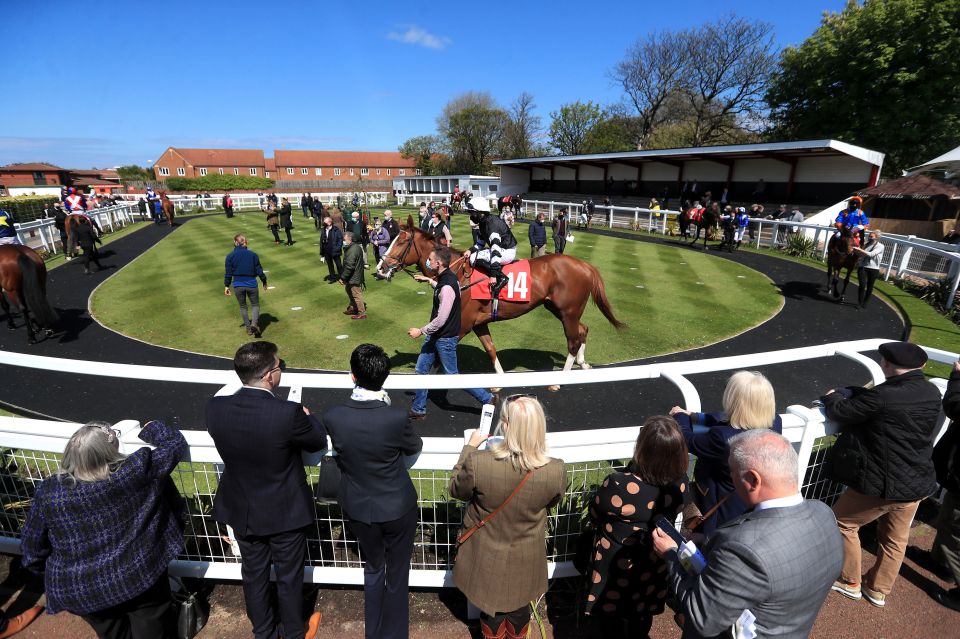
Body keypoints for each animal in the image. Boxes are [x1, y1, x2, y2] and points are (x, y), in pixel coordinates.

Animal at [378, 218, 628, 376]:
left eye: (401, 241)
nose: (380, 268)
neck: (457, 274)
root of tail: (586, 265)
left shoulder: (462, 325)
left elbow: (439, 356)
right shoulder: (478, 323)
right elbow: (491, 350)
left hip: (568, 311)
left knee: (573, 340)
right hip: (559, 309)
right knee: (583, 330)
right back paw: (583, 364)